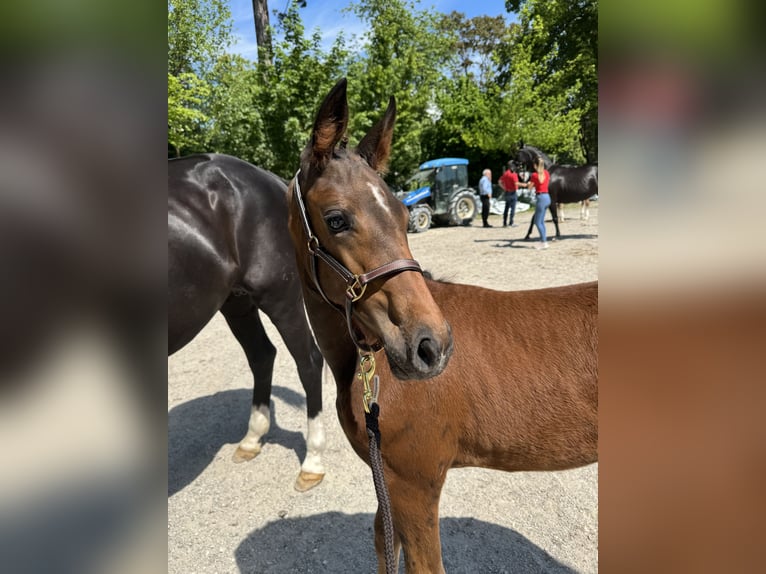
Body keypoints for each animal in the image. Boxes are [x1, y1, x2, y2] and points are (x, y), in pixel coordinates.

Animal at [171, 155, 328, 492]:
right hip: (237, 304)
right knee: (262, 355)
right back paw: (252, 438)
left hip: (280, 297)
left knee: (309, 361)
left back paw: (313, 460)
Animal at [288, 79, 600, 572]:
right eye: (336, 219)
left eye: (404, 215)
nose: (430, 346)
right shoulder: (389, 481)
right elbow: (384, 541)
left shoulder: (416, 483)